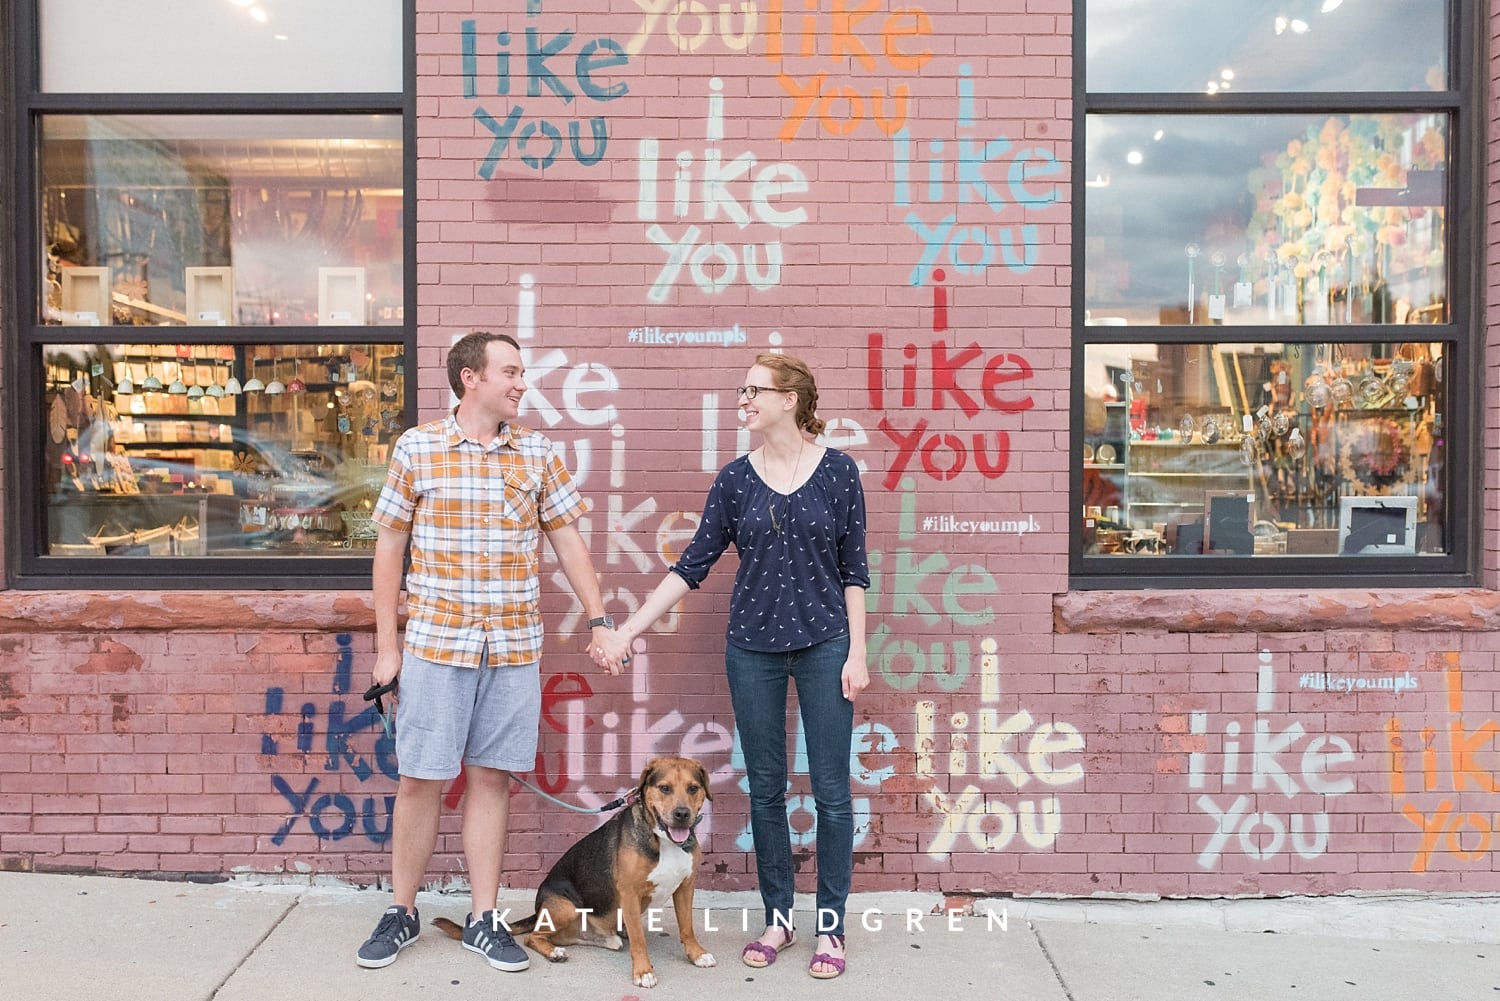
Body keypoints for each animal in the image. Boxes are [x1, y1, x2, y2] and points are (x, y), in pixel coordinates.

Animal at [432, 759, 717, 984]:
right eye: (664, 788)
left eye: (693, 788)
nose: (682, 814)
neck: (665, 841)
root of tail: (538, 911)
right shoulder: (630, 892)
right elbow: (639, 941)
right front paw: (643, 972)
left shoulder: (686, 886)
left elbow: (687, 927)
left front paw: (697, 954)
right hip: (565, 908)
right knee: (533, 936)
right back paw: (553, 952)